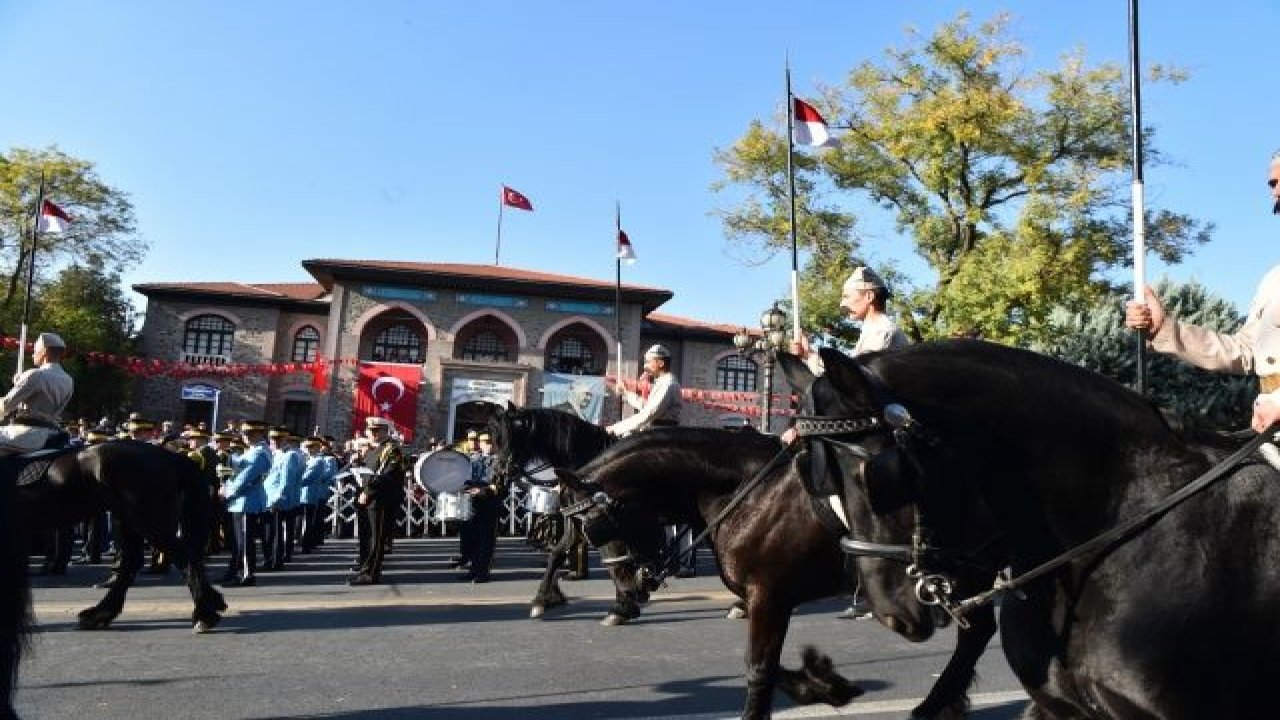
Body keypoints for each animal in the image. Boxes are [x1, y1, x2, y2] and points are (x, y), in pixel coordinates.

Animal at [486, 407, 655, 625]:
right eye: (495, 437)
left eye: (511, 436)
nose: (497, 476)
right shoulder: (575, 521)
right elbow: (557, 553)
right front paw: (543, 599)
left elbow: (616, 558)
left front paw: (624, 606)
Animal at [555, 425, 947, 717]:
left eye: (596, 526)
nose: (628, 589)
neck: (747, 491)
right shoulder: (770, 601)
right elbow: (768, 667)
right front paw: (823, 684)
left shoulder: (768, 598)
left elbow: (759, 668)